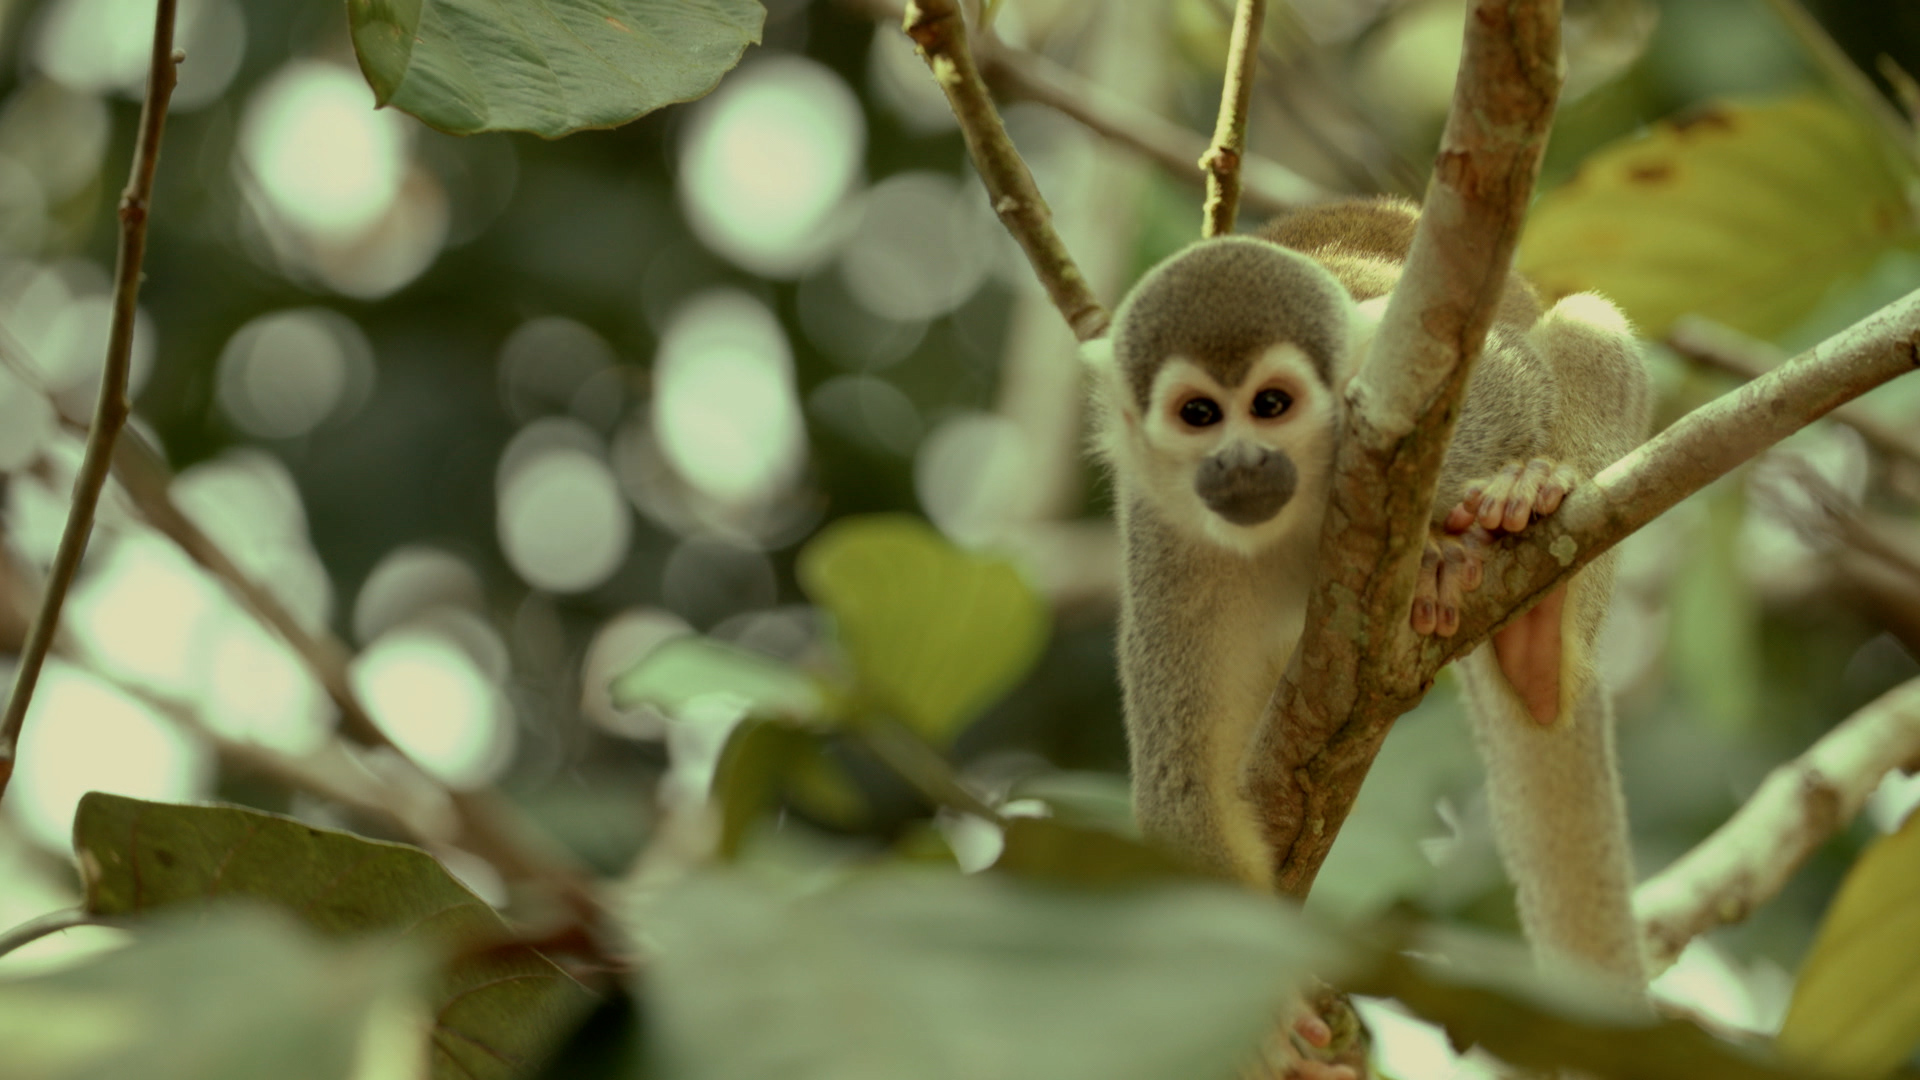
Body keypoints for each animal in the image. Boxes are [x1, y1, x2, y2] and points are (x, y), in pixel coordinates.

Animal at [1085, 197, 1653, 992]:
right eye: (1198, 414)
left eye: (1270, 404)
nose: (1239, 463)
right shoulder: (1164, 544)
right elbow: (1184, 790)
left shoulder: (1394, 403)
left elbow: (1510, 380)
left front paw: (1482, 517)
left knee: (1584, 325)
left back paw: (1539, 623)